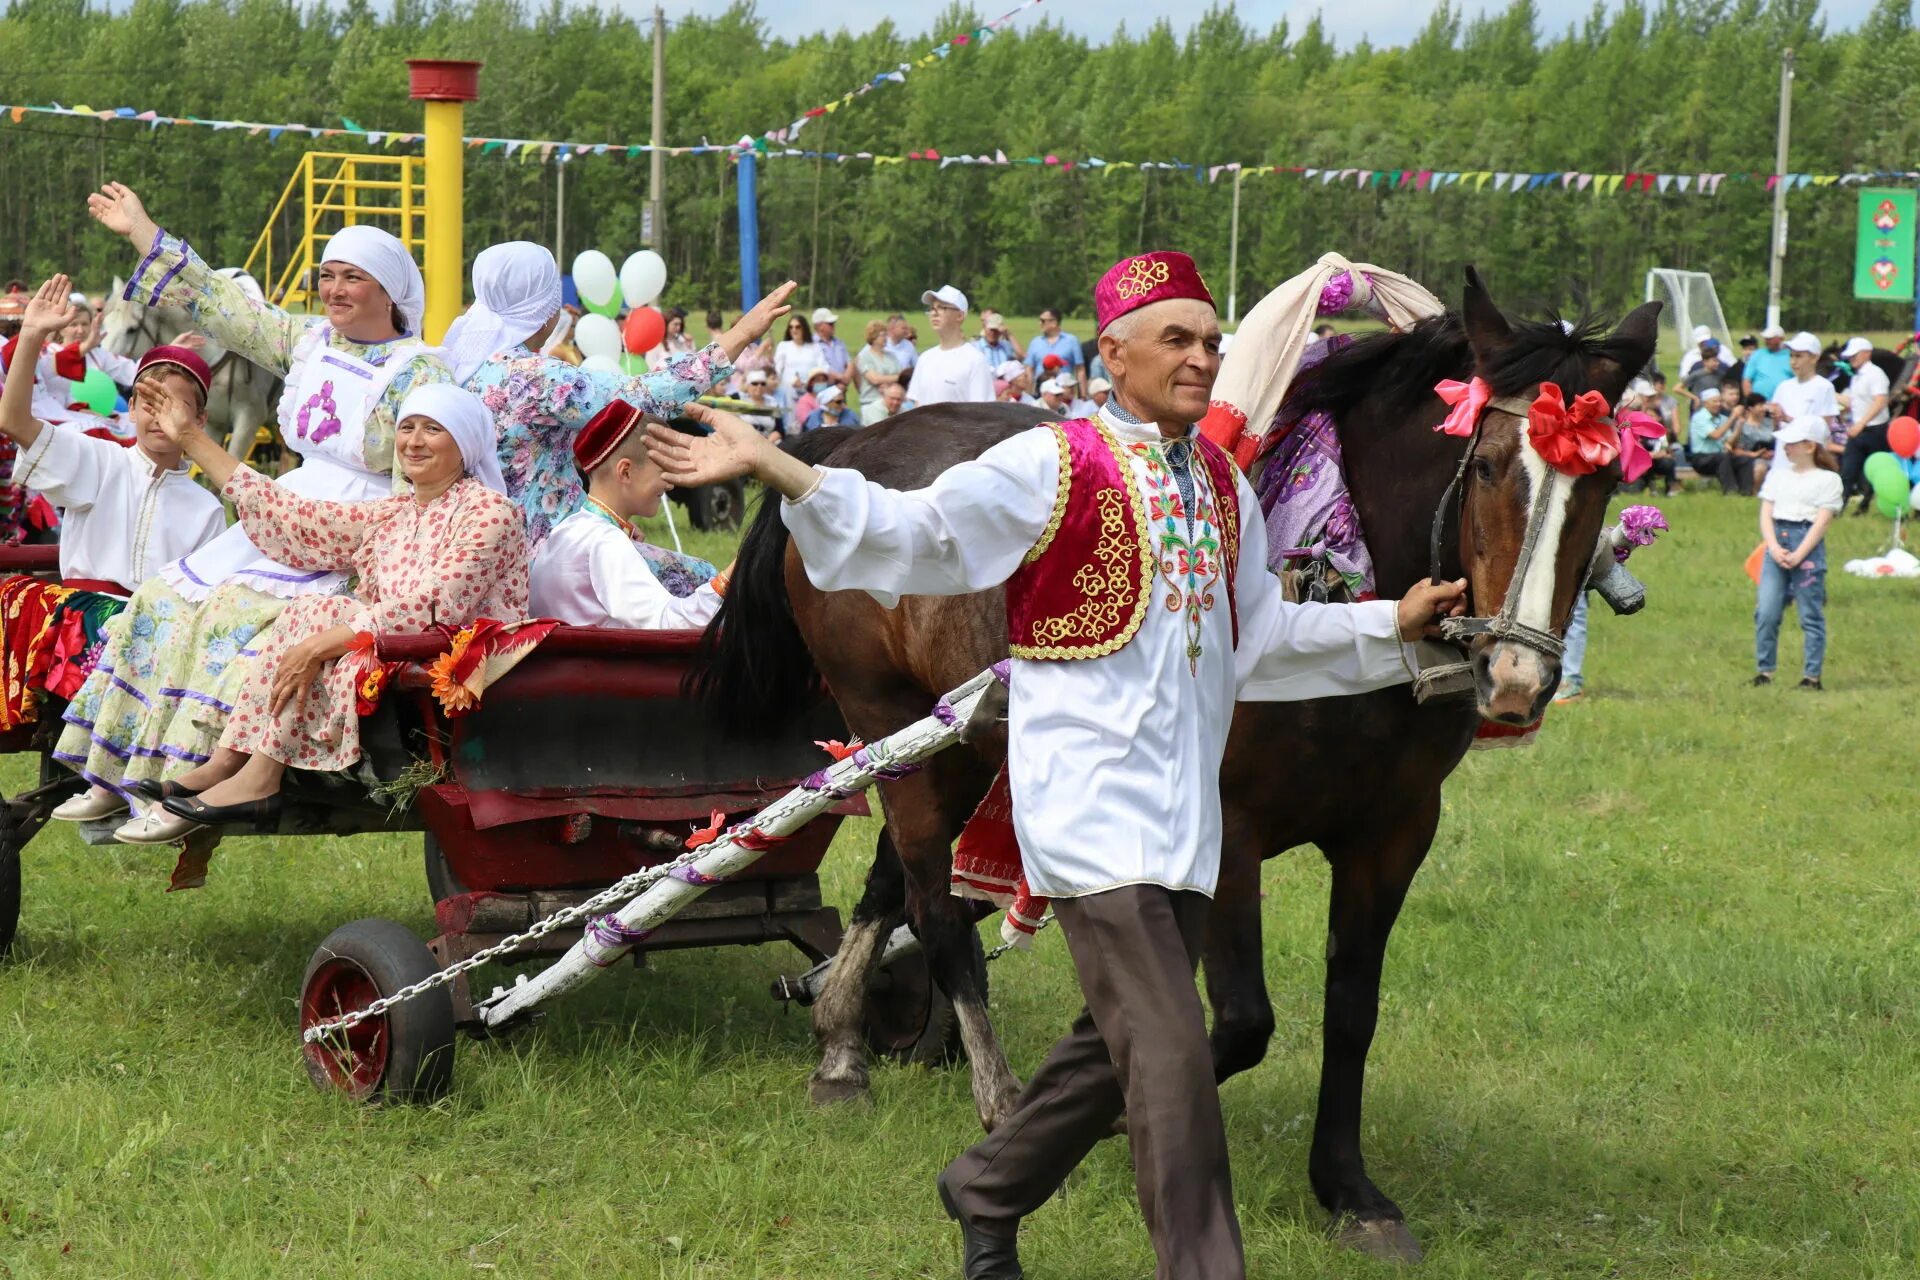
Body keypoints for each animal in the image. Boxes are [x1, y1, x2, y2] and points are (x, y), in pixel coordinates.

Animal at [698, 270, 1658, 1258]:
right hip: (889, 721)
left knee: (893, 884)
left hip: (953, 743)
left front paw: (1350, 1190)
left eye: (1610, 477)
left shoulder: (1394, 831)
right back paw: (992, 1096)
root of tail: (853, 440)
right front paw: (1107, 1114)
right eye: (1492, 464)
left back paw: (843, 1047)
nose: (1518, 679)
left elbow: (1351, 1010)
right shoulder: (1227, 830)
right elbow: (1237, 1022)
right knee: (937, 909)